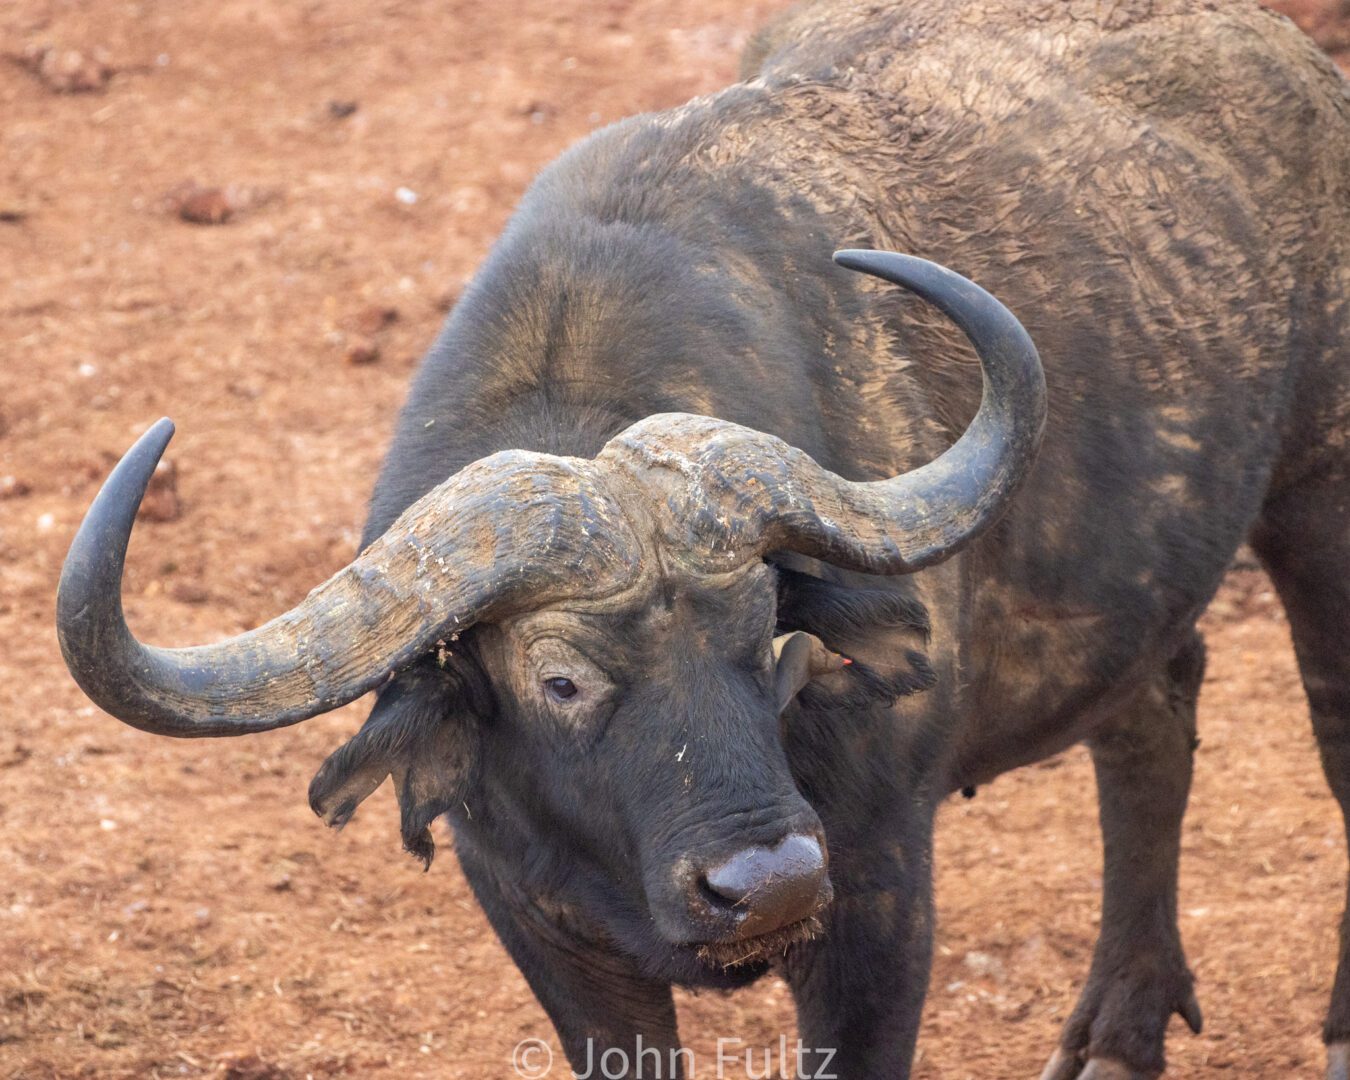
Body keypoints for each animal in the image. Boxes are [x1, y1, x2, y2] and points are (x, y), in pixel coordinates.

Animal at [55, 0, 1350, 1074]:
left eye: (768, 634)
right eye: (561, 680)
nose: (764, 884)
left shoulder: (876, 897)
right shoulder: (538, 924)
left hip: (1318, 504)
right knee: (1153, 712)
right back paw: (1120, 1033)